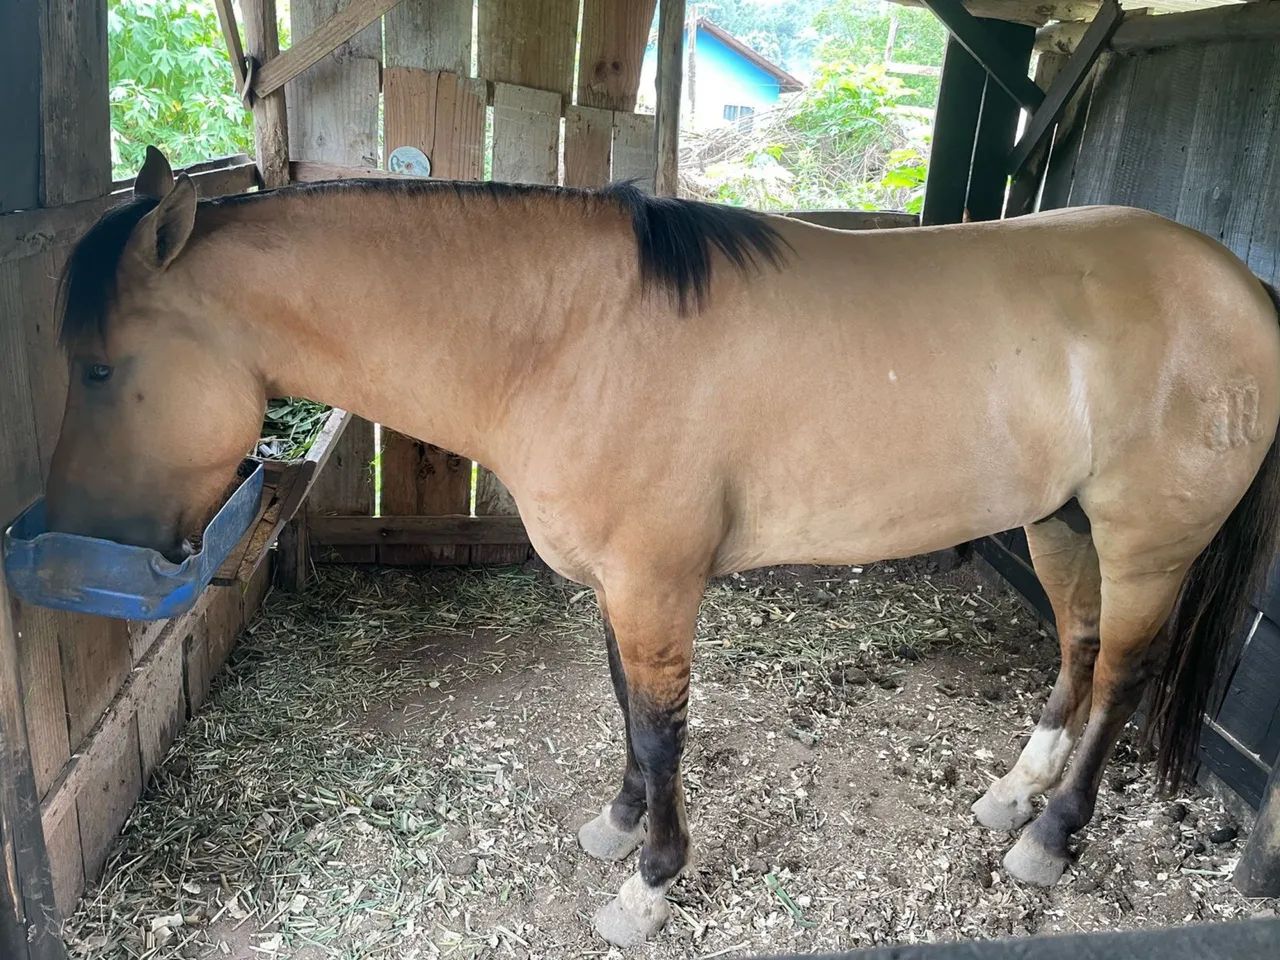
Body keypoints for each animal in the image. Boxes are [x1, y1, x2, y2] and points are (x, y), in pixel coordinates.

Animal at [46, 146, 1280, 946]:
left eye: (101, 368)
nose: (71, 552)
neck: (570, 339)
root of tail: (1239, 288)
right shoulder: (615, 588)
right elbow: (626, 717)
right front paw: (617, 827)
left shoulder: (656, 586)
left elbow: (659, 729)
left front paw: (649, 888)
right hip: (1060, 519)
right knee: (1076, 650)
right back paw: (1012, 795)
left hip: (1145, 538)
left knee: (1121, 675)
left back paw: (1052, 839)